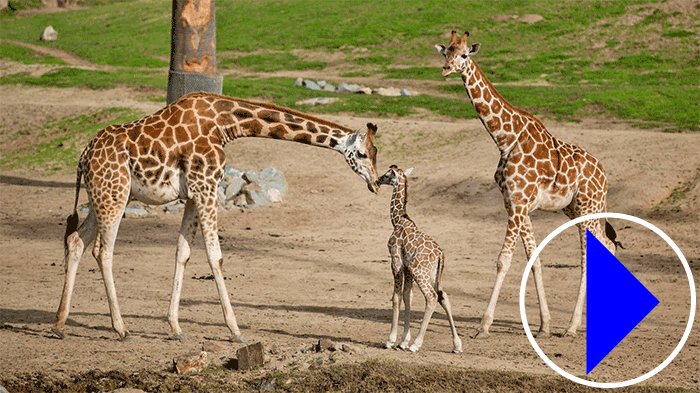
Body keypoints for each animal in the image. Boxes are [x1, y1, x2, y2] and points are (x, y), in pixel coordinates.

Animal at [53, 91, 382, 340]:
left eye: (376, 153)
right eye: (362, 154)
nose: (376, 184)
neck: (225, 124)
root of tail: (83, 157)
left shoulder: (193, 193)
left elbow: (183, 253)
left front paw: (175, 327)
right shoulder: (206, 186)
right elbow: (216, 256)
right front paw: (235, 330)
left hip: (104, 196)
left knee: (76, 241)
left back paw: (59, 323)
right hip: (115, 195)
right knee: (103, 250)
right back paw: (121, 329)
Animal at [380, 165, 462, 352]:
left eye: (387, 175)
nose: (378, 180)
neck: (398, 220)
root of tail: (440, 255)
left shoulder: (396, 261)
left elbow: (396, 297)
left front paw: (391, 340)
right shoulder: (407, 266)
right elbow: (407, 296)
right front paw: (403, 341)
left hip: (420, 272)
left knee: (432, 297)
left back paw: (416, 344)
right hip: (432, 274)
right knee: (443, 296)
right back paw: (457, 345)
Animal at [434, 30, 620, 336]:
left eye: (464, 54)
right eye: (445, 51)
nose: (446, 69)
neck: (504, 139)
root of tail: (604, 176)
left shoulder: (519, 204)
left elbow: (503, 261)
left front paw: (484, 325)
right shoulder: (514, 205)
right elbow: (534, 259)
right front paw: (544, 325)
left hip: (589, 207)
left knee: (592, 258)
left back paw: (572, 327)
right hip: (575, 210)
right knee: (609, 246)